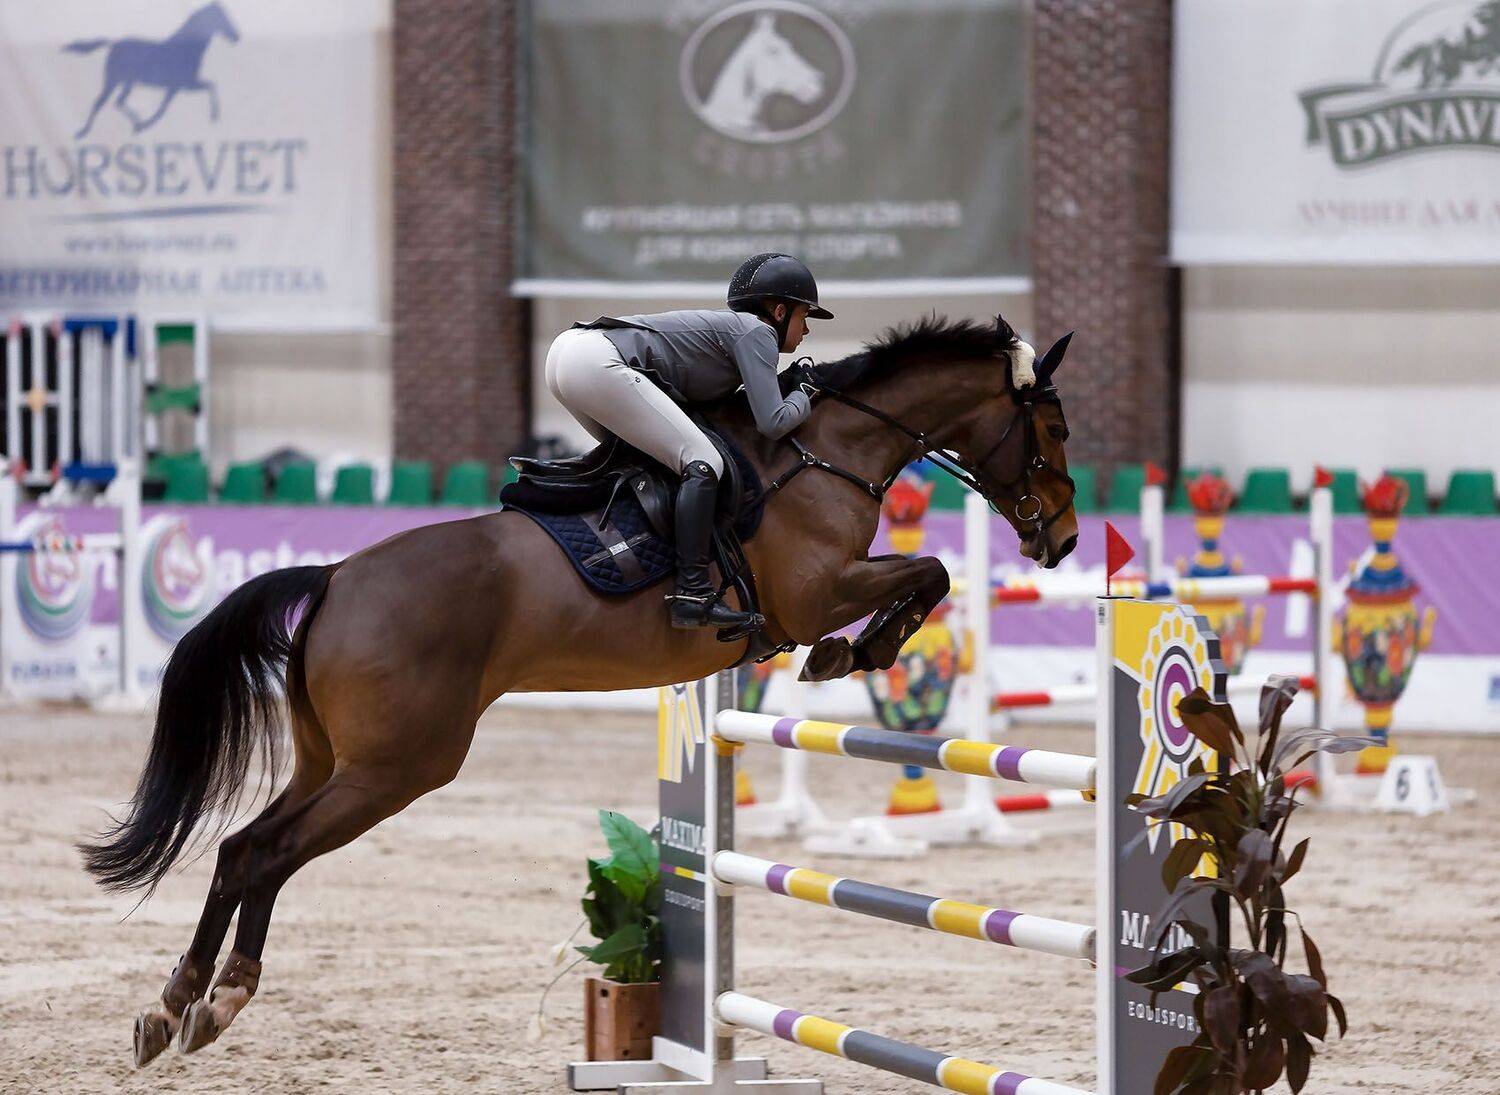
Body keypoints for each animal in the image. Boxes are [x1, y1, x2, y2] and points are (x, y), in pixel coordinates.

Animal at [66, 2, 240, 140]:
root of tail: (113, 43)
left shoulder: (180, 86)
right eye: (221, 17)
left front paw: (143, 125)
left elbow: (207, 87)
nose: (236, 37)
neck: (186, 50)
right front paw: (214, 116)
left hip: (128, 82)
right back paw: (83, 132)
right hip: (112, 80)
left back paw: (135, 123)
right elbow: (164, 109)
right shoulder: (182, 85)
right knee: (100, 103)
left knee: (119, 102)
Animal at [81, 315, 1080, 1067]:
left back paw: (175, 1004)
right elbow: (932, 571)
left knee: (242, 846)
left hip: (335, 759)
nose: (1064, 539)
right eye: (1056, 429)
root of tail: (334, 578)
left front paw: (852, 654)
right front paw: (852, 653)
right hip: (398, 766)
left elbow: (929, 574)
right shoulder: (816, 590)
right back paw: (215, 1001)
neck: (826, 447)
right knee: (269, 852)